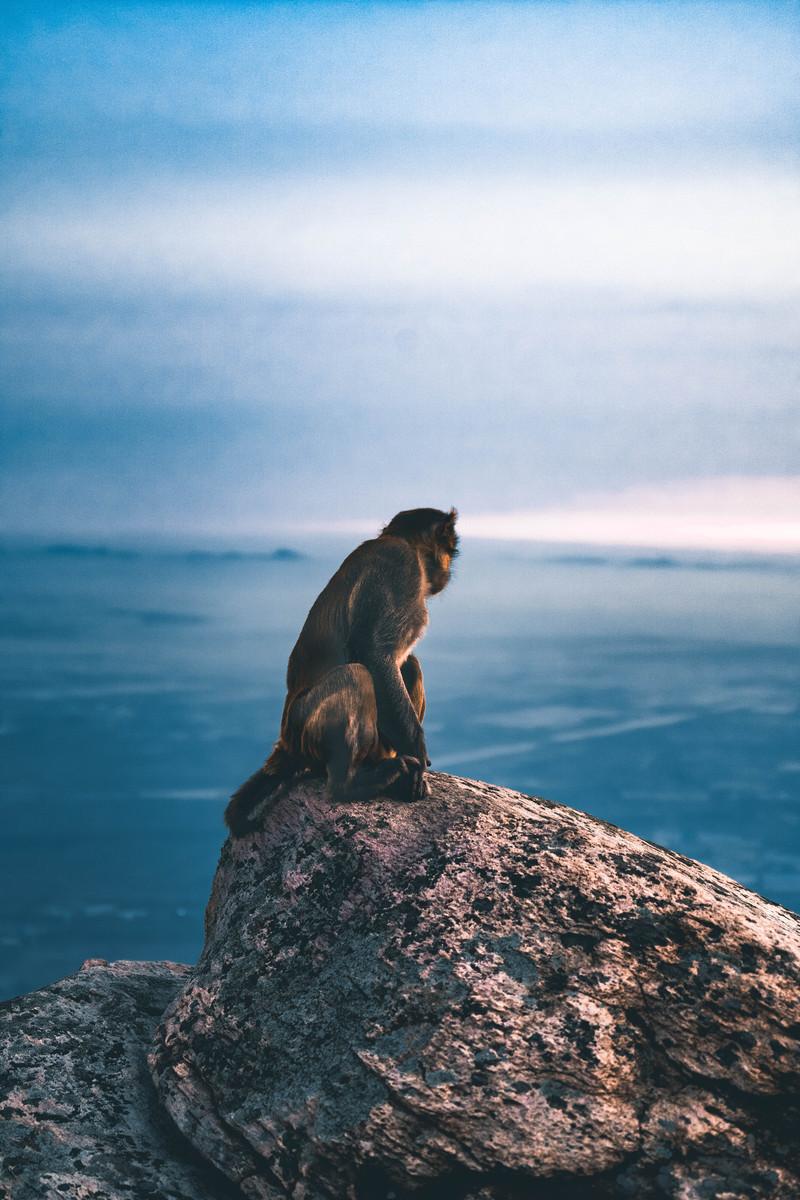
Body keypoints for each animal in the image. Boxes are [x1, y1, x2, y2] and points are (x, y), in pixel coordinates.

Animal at [226, 506, 462, 835]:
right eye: (450, 549)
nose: (448, 571)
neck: (405, 544)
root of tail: (285, 745)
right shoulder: (398, 564)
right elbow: (374, 654)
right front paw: (416, 750)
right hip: (304, 729)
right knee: (356, 674)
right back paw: (350, 786)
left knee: (410, 665)